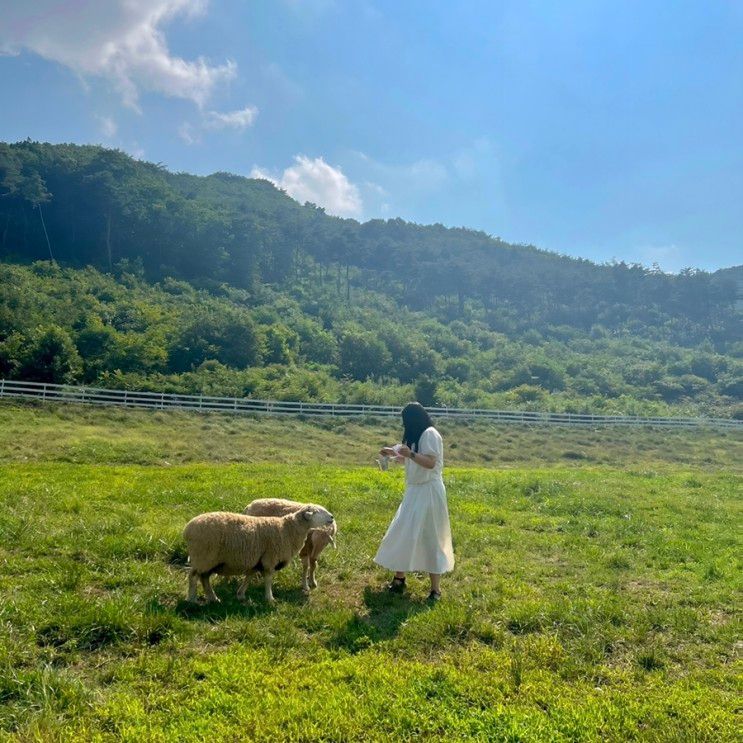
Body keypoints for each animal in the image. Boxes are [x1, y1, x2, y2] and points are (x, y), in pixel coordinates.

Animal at [183, 500, 334, 604]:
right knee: (194, 577)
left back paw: (213, 598)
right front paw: (270, 598)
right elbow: (268, 579)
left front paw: (241, 594)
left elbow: (249, 576)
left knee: (204, 578)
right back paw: (192, 599)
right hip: (203, 556)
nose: (332, 517)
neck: (288, 529)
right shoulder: (270, 558)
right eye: (318, 511)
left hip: (207, 560)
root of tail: (187, 529)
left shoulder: (256, 559)